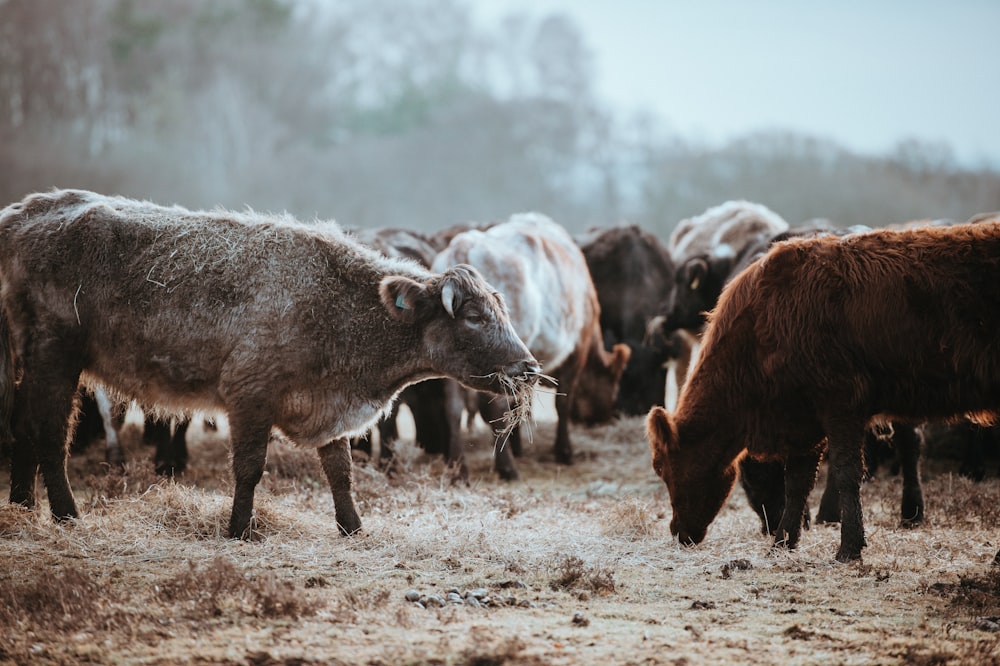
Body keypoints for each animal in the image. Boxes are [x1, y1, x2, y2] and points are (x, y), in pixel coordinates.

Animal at [0, 188, 540, 540]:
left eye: (500, 309)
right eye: (473, 316)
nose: (529, 367)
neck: (334, 305)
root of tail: (25, 210)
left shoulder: (328, 406)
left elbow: (340, 470)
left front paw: (352, 526)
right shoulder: (250, 397)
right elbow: (249, 469)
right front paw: (239, 529)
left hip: (31, 361)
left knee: (23, 427)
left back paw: (22, 506)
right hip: (56, 357)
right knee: (49, 434)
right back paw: (66, 515)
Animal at [644, 219, 1000, 560]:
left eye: (662, 468)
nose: (679, 531)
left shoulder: (840, 404)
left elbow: (846, 473)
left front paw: (849, 546)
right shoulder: (804, 418)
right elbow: (798, 482)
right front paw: (782, 542)